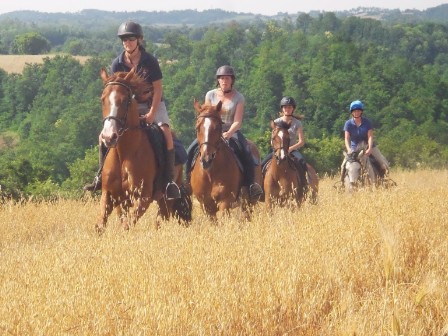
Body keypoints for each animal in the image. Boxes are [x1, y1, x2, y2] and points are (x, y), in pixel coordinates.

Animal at [96, 67, 191, 232]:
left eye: (125, 100)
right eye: (103, 99)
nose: (109, 136)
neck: (124, 153)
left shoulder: (143, 197)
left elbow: (128, 224)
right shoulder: (111, 195)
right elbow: (102, 223)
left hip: (166, 197)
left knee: (161, 218)